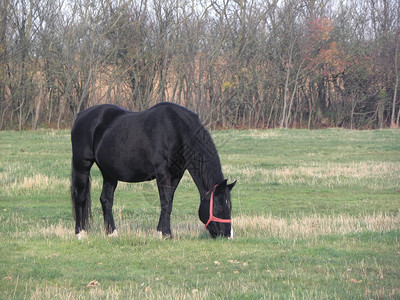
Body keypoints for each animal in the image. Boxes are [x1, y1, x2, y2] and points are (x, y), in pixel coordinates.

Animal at [70, 103, 236, 239]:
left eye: (230, 206)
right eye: (220, 207)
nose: (227, 234)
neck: (176, 128)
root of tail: (81, 116)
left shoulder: (176, 175)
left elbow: (169, 201)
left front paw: (162, 232)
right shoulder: (162, 173)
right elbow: (165, 202)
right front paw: (166, 234)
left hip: (109, 172)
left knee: (106, 199)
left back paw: (112, 233)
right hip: (82, 165)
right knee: (80, 197)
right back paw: (80, 233)